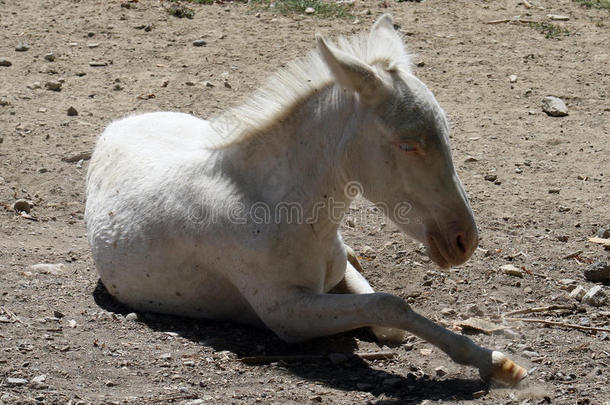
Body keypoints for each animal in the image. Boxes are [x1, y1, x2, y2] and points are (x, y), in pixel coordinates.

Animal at [84, 13, 524, 386]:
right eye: (407, 144)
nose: (464, 241)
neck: (281, 210)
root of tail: (120, 123)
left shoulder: (335, 278)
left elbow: (389, 321)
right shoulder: (288, 314)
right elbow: (391, 306)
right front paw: (496, 363)